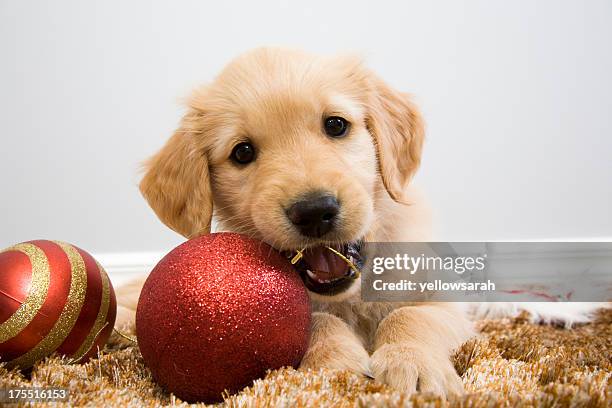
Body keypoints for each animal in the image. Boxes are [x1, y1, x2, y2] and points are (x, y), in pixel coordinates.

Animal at [128, 47, 474, 396]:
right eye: (242, 153)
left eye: (336, 125)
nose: (313, 212)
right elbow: (314, 321)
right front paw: (335, 367)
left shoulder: (446, 297)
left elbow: (410, 315)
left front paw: (412, 363)